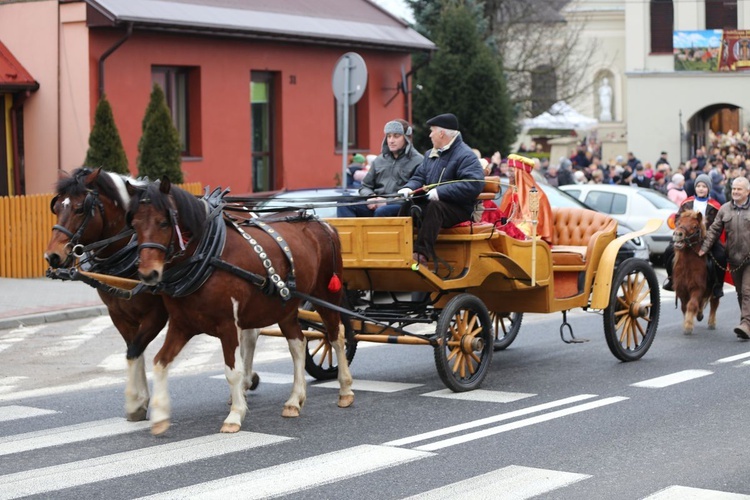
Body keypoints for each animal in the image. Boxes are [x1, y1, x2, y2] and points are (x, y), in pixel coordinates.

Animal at [127, 177, 356, 434]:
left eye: (164, 223)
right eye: (134, 224)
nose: (148, 274)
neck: (208, 257)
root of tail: (323, 224)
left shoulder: (228, 325)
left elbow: (232, 371)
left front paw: (235, 415)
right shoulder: (181, 325)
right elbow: (160, 363)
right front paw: (158, 415)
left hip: (326, 295)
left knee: (336, 336)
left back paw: (345, 390)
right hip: (285, 308)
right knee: (298, 344)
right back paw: (294, 400)